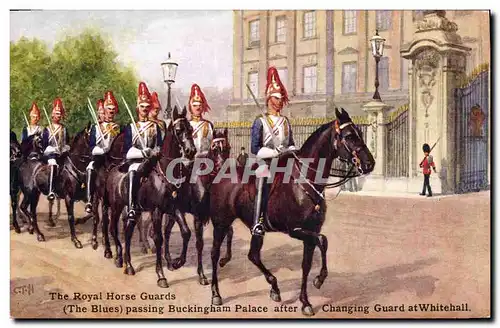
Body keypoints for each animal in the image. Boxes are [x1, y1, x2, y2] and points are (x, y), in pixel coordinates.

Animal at [105, 106, 195, 284]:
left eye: (190, 129)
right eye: (179, 130)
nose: (191, 151)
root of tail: (113, 169)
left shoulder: (174, 208)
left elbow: (186, 232)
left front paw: (177, 262)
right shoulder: (156, 211)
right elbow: (158, 238)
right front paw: (161, 275)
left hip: (134, 211)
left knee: (128, 231)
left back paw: (129, 265)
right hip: (117, 206)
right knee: (113, 228)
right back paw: (119, 258)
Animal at [164, 127, 234, 284]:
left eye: (228, 148)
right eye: (214, 149)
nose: (223, 171)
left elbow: (229, 232)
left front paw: (224, 260)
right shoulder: (198, 218)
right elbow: (199, 243)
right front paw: (201, 274)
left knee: (166, 231)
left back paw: (169, 262)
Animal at [207, 107, 376, 316]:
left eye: (359, 133)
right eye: (349, 136)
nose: (369, 164)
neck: (305, 181)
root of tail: (220, 172)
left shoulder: (310, 233)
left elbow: (308, 262)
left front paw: (306, 301)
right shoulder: (295, 231)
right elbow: (323, 240)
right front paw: (319, 280)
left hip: (254, 231)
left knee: (253, 255)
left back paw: (274, 288)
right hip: (220, 223)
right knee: (214, 254)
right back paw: (216, 294)